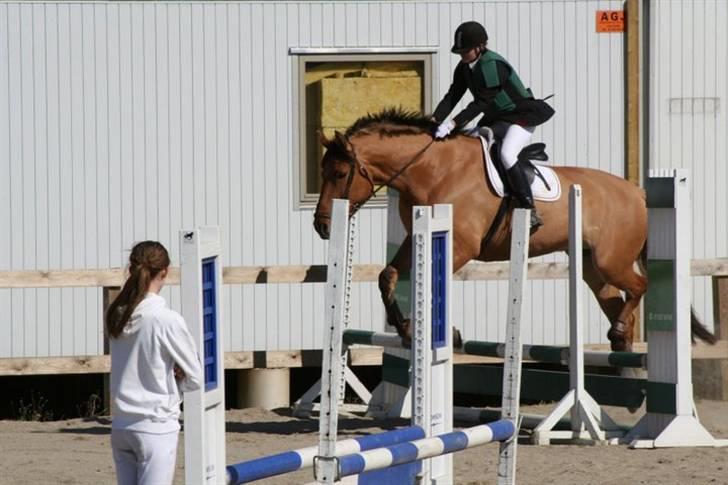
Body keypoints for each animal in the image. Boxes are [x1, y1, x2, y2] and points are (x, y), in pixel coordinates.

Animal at [310, 108, 712, 352]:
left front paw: (442, 333)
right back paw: (621, 350)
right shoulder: (415, 239)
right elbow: (387, 276)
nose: (322, 226)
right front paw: (406, 329)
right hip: (592, 267)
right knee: (617, 300)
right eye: (323, 172)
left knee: (640, 286)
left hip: (611, 259)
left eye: (340, 174)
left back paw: (618, 336)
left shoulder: (461, 247)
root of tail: (637, 192)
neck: (432, 169)